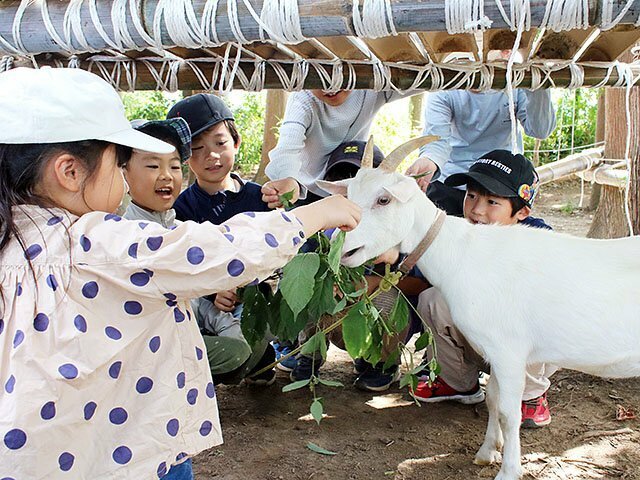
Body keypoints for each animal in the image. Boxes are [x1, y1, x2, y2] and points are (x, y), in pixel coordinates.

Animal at [318, 136, 640, 480]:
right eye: (349, 196)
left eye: (383, 199)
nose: (343, 249)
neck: (463, 253)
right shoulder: (493, 352)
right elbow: (493, 400)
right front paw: (487, 451)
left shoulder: (510, 351)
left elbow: (510, 413)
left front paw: (509, 470)